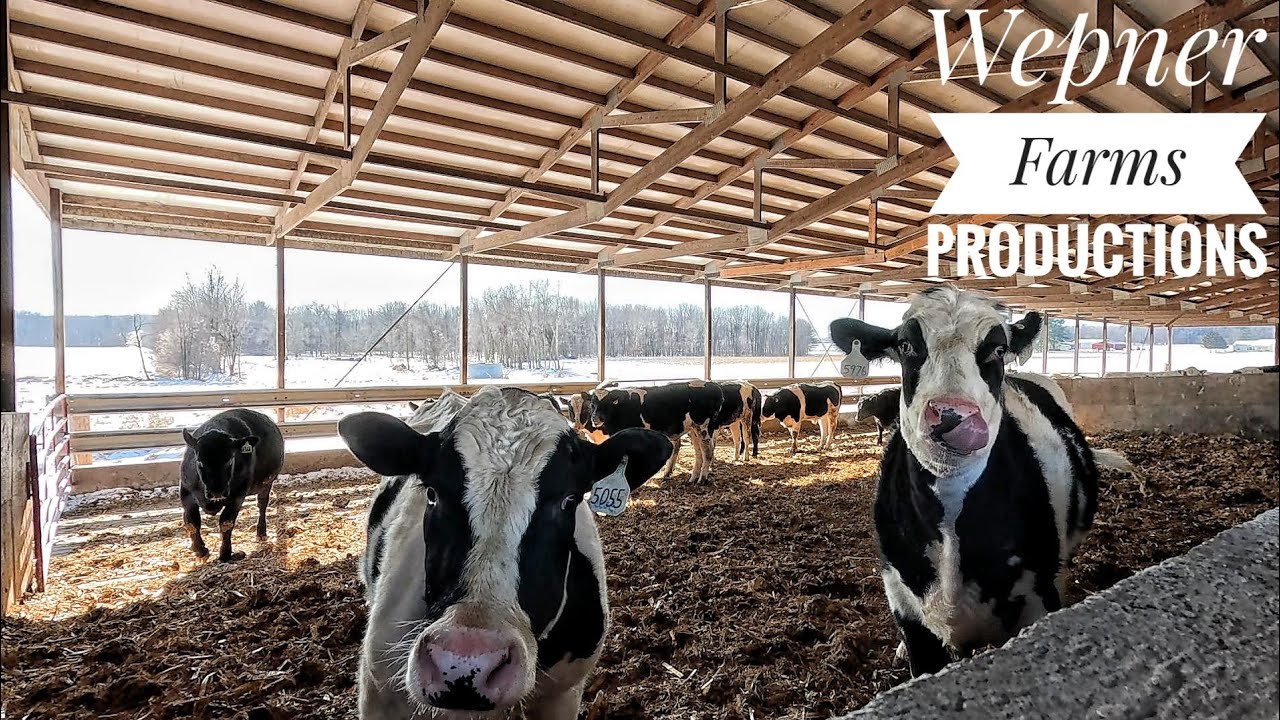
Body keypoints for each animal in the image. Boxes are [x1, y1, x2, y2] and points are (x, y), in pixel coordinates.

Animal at [179, 409, 284, 562]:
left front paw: (225, 553)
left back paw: (261, 532)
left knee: (262, 505)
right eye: (199, 462)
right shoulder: (186, 493)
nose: (216, 491)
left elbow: (226, 522)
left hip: (267, 483)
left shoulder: (237, 496)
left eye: (230, 461)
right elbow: (192, 524)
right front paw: (200, 551)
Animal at [587, 380, 723, 484]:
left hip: (703, 427)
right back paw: (693, 478)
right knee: (699, 452)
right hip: (694, 429)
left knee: (707, 452)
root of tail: (713, 385)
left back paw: (702, 479)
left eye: (605, 405)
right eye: (592, 405)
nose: (595, 418)